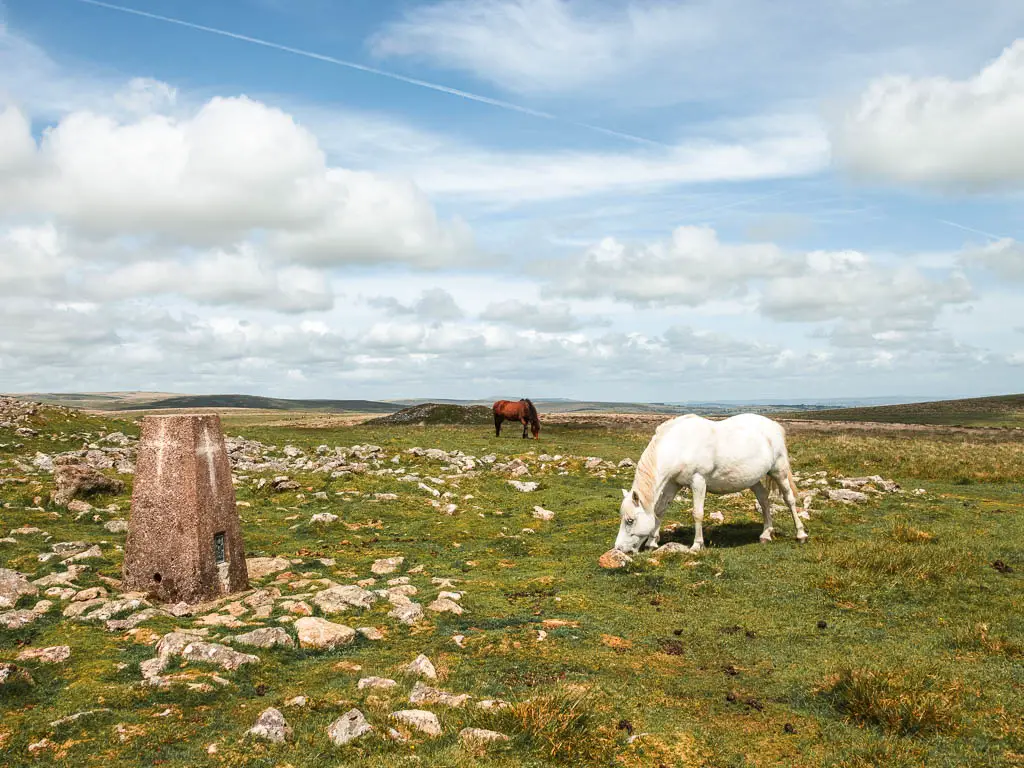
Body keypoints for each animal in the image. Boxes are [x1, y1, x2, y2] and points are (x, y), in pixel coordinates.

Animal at [614, 415, 806, 552]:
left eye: (630, 521)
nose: (619, 549)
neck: (680, 445)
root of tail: (774, 426)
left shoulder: (698, 481)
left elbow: (697, 513)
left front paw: (697, 545)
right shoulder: (673, 483)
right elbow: (659, 510)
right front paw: (652, 542)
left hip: (779, 471)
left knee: (789, 500)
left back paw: (801, 534)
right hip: (754, 478)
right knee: (764, 500)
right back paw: (766, 534)